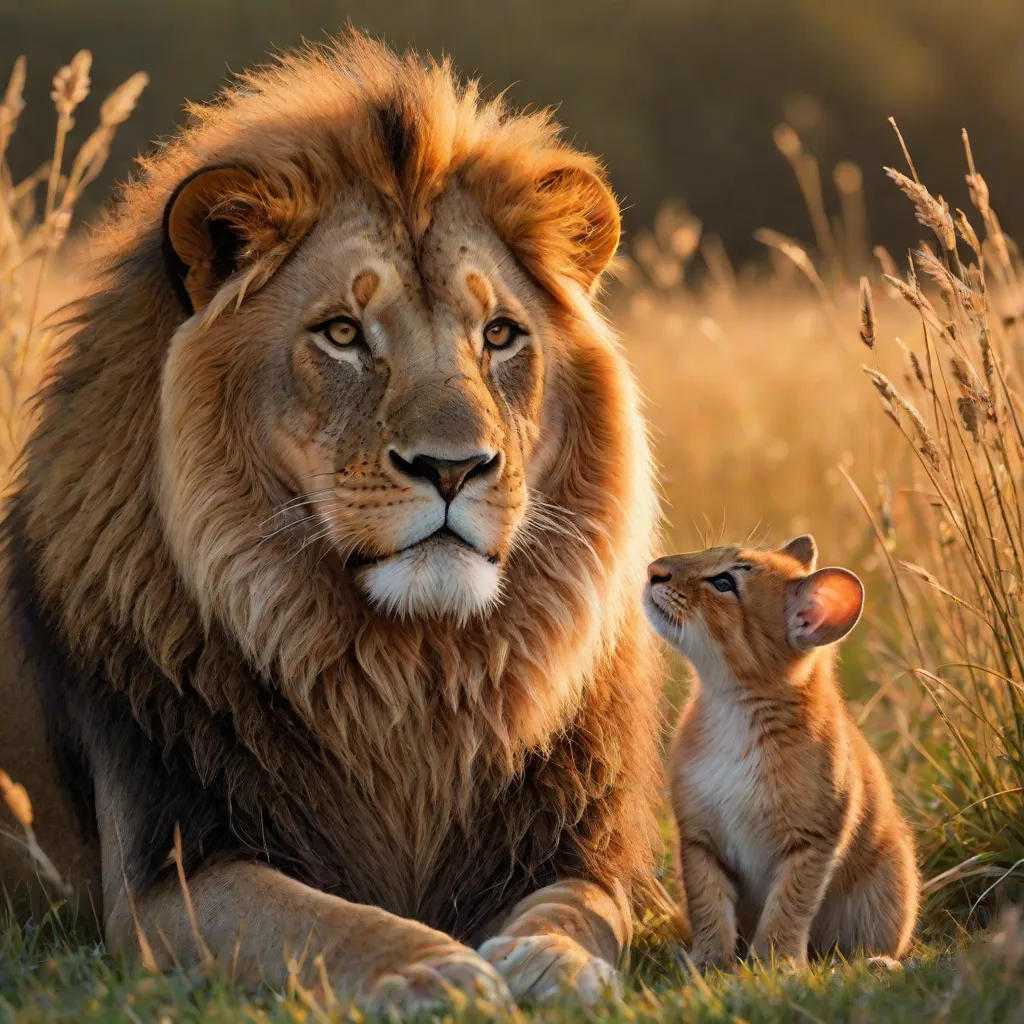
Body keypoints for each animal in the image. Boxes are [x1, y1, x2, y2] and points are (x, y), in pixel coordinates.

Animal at [0, 32, 664, 1011]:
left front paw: (553, 962)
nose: (453, 467)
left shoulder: (577, 843)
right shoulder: (170, 875)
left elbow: (581, 907)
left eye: (500, 335)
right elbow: (329, 921)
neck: (414, 679)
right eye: (344, 334)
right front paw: (433, 969)